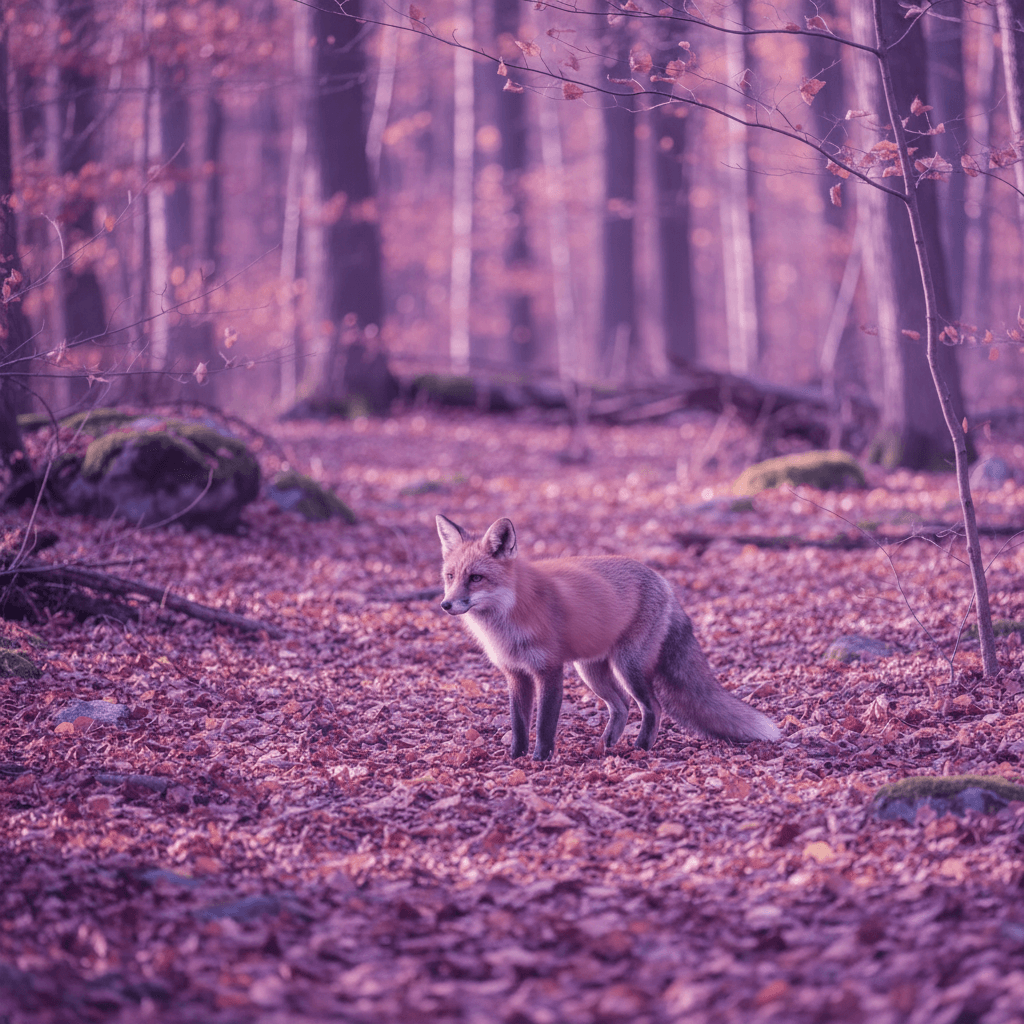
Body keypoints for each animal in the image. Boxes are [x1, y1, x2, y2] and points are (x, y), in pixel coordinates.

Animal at [436, 514, 781, 761]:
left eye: (476, 578)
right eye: (450, 577)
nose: (446, 604)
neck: (510, 615)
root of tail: (664, 581)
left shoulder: (550, 670)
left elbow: (545, 724)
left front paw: (539, 761)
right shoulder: (516, 674)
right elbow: (519, 724)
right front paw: (515, 759)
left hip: (628, 666)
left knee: (653, 707)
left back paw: (640, 748)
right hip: (591, 671)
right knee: (622, 706)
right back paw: (605, 746)